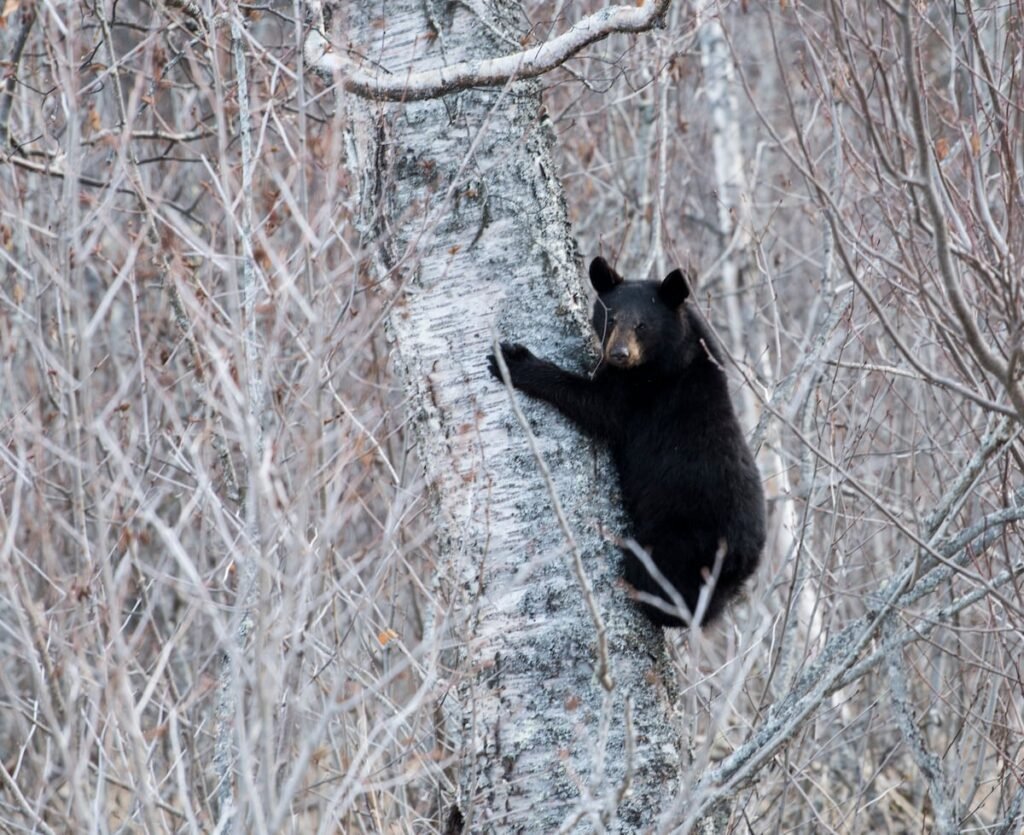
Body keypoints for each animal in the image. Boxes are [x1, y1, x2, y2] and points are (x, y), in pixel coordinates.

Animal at [488, 257, 766, 627]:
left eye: (642, 325)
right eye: (611, 318)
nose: (619, 353)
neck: (672, 356)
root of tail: (744, 559)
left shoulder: (643, 394)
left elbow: (598, 407)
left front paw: (515, 361)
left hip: (679, 540)